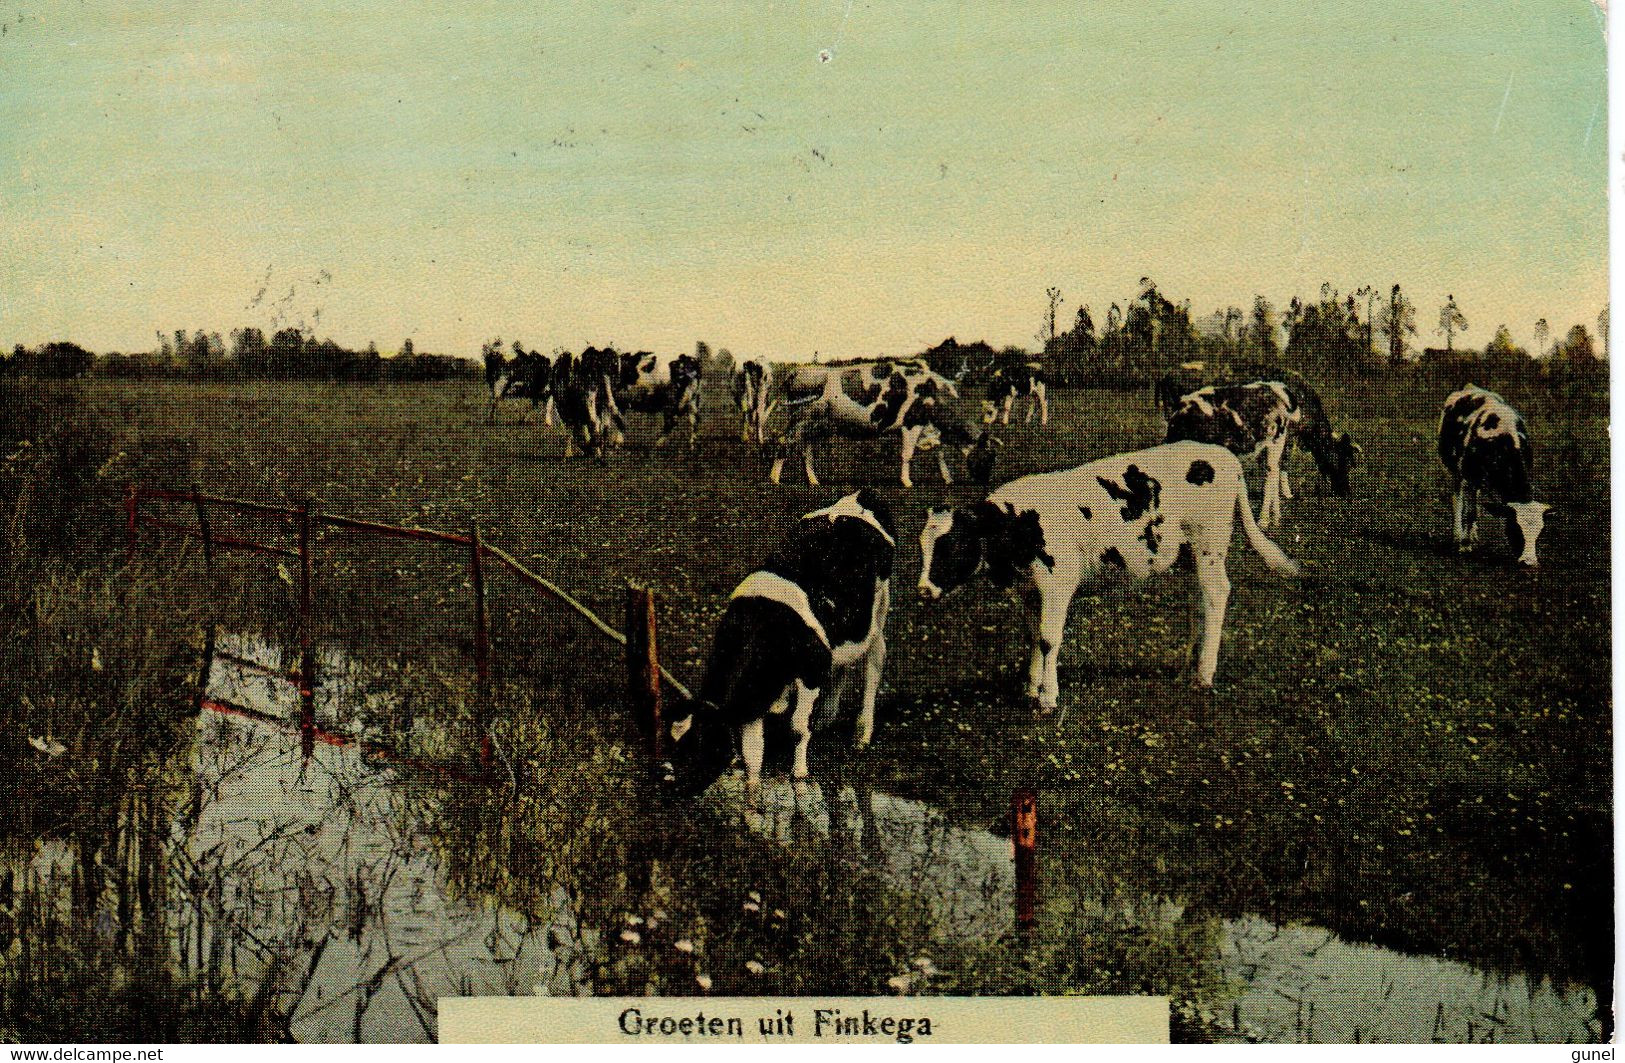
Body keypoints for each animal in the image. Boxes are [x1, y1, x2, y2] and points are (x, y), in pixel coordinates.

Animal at [656, 487, 897, 802]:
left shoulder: (810, 669)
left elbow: (797, 728)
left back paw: (862, 732)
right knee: (840, 666)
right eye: (671, 742)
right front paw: (753, 795)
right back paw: (825, 719)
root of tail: (861, 495)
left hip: (878, 610)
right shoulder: (757, 693)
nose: (668, 785)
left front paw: (800, 773)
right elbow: (752, 750)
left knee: (874, 661)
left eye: (699, 744)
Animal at [767, 368, 994, 490]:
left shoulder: (931, 430)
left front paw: (948, 478)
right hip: (801, 419)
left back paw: (814, 480)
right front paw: (907, 482)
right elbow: (907, 454)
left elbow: (940, 453)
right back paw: (774, 479)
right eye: (989, 456)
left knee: (806, 450)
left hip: (815, 425)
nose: (986, 482)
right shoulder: (912, 424)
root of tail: (799, 370)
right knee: (785, 442)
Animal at [923, 438, 1300, 711]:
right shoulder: (1029, 590)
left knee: (1217, 594)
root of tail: (1222, 455)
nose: (924, 590)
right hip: (1189, 554)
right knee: (1199, 600)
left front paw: (1047, 698)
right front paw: (1030, 688)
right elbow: (1033, 636)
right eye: (923, 547)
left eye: (953, 545)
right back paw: (1185, 667)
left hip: (1209, 546)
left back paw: (1204, 674)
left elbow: (1049, 639)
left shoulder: (1057, 584)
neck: (1021, 524)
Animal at [1157, 375, 1358, 529]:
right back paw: (1273, 517)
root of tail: (1278, 387)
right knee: (1273, 474)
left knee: (1271, 476)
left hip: (1276, 442)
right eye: (1344, 461)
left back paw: (1264, 520)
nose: (1346, 492)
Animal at [1443, 383, 1553, 565]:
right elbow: (1470, 511)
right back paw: (1459, 534)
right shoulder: (1470, 476)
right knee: (1457, 498)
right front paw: (1465, 546)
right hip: (1457, 471)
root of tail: (1471, 387)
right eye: (1515, 528)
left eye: (1540, 532)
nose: (1529, 562)